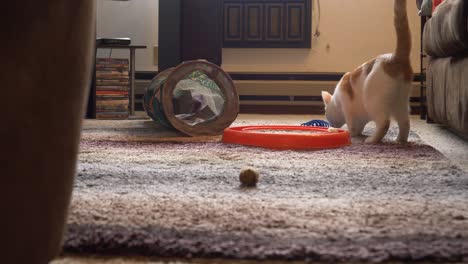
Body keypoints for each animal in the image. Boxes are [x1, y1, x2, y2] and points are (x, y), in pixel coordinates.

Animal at [322, 0, 414, 143]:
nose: (330, 124)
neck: (337, 100)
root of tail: (395, 57)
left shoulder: (348, 108)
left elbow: (352, 126)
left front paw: (348, 133)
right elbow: (358, 127)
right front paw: (357, 133)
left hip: (374, 101)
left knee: (384, 123)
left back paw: (372, 139)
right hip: (401, 103)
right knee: (405, 123)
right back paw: (400, 140)